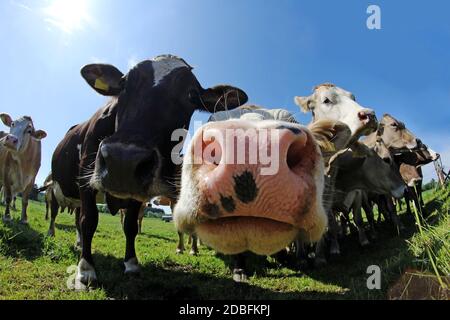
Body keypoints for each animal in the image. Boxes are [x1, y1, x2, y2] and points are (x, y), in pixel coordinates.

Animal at [51, 53, 248, 288]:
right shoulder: (84, 178)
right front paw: (86, 269)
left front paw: (131, 263)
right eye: (124, 84)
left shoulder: (137, 191)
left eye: (191, 94)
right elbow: (89, 221)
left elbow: (130, 226)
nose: (123, 161)